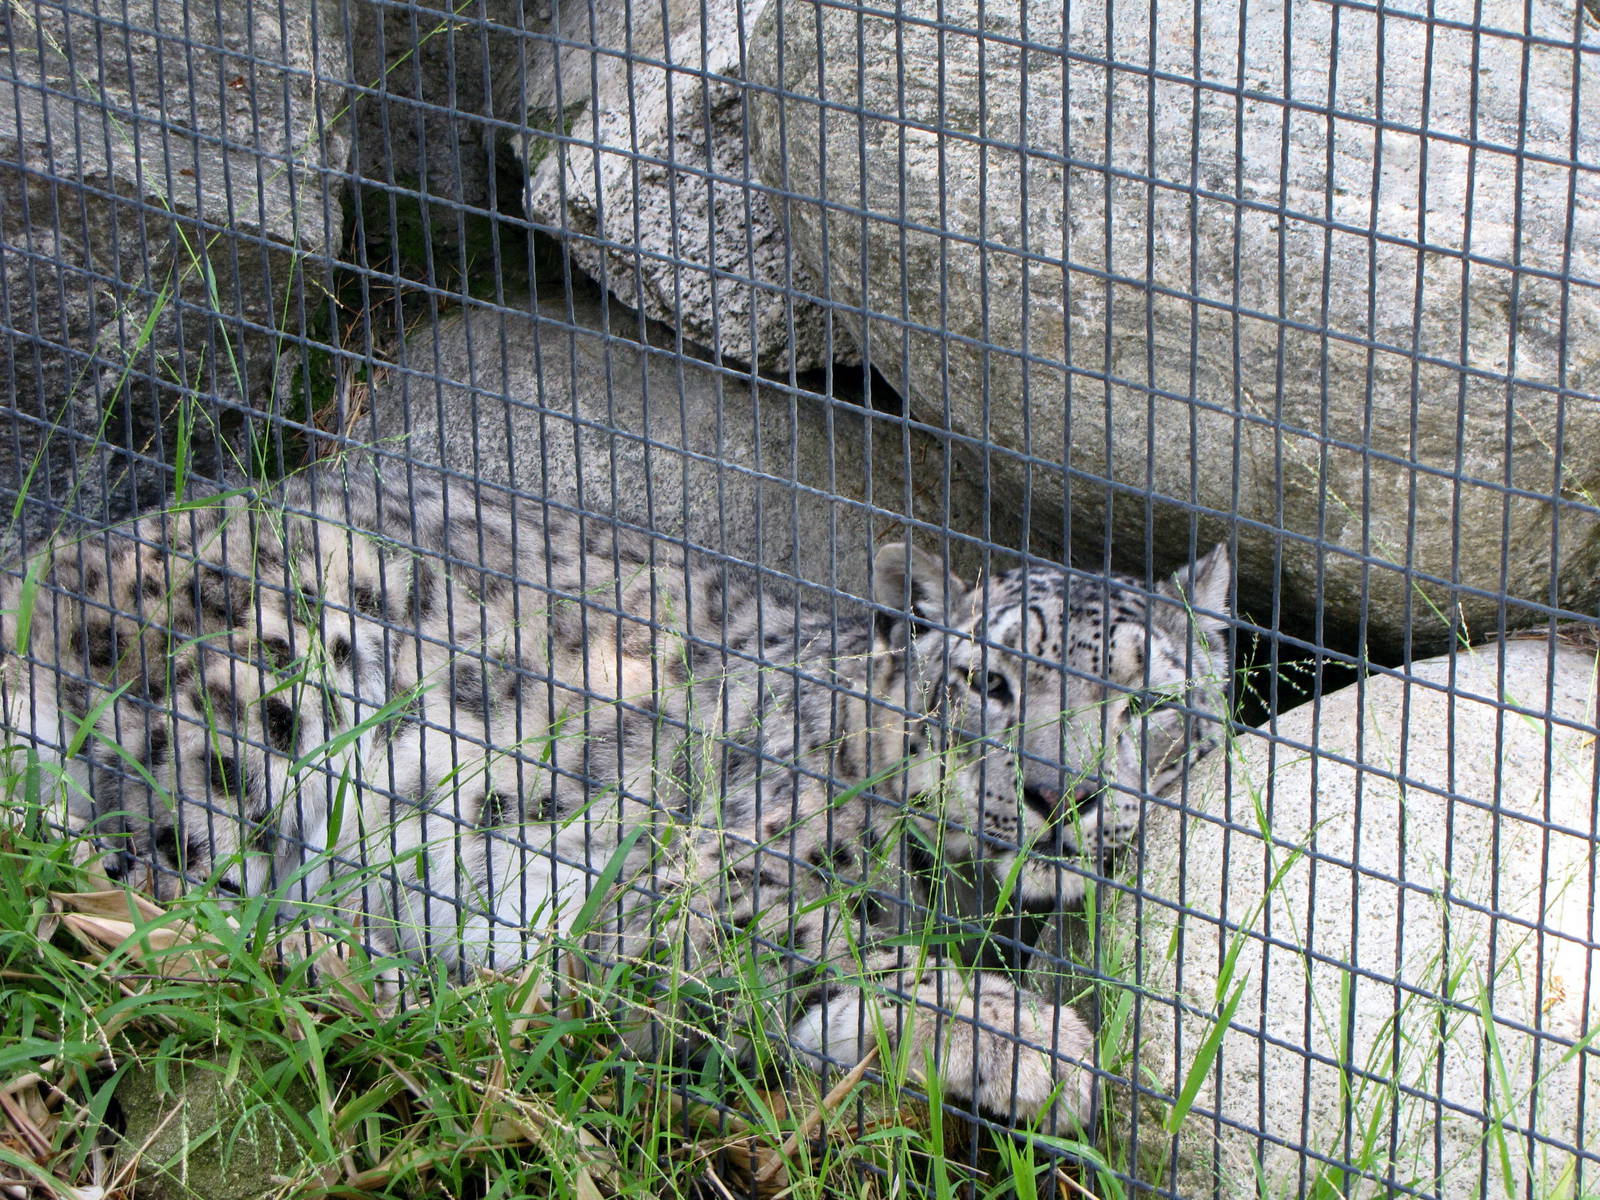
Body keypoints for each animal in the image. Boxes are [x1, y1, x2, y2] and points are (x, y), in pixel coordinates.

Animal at [0, 456, 1231, 1134]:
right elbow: (840, 938)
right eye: (991, 681)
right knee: (172, 907)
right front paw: (1041, 1044)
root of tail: (52, 558)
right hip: (244, 709)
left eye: (1147, 701)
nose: (1059, 792)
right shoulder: (695, 880)